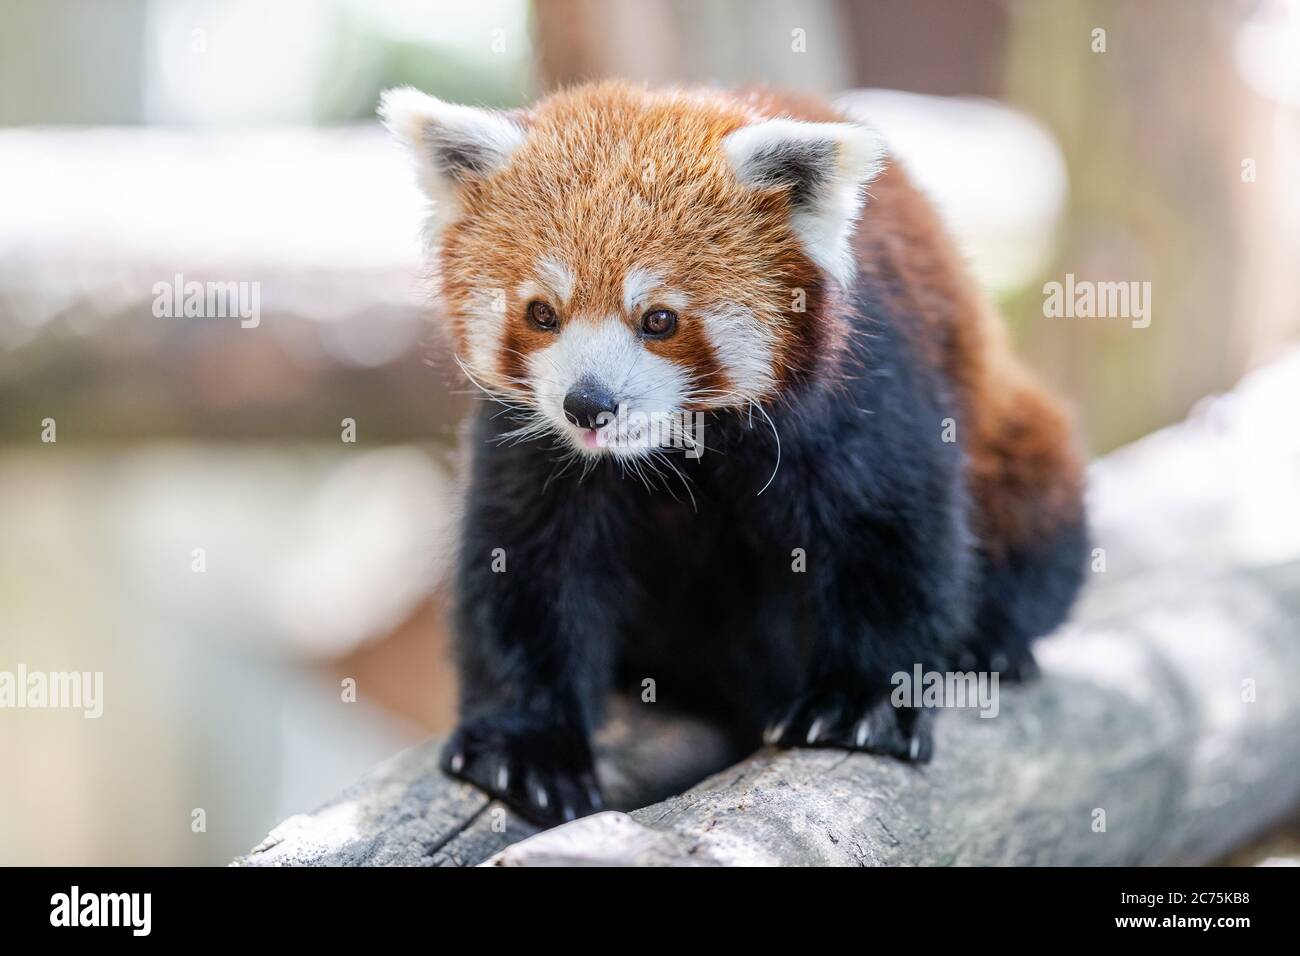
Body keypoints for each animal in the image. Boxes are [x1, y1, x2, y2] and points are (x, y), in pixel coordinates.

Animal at [382, 82, 1086, 832]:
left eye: (659, 319)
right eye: (543, 314)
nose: (587, 404)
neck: (680, 446)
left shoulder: (867, 383)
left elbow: (890, 532)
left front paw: (860, 703)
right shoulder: (534, 444)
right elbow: (525, 566)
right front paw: (526, 747)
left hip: (1013, 433)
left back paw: (992, 642)